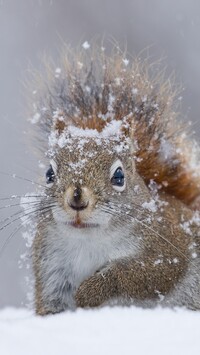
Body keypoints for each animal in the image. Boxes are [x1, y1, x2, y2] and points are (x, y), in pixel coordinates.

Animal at [28, 43, 200, 316]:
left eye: (119, 176)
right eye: (49, 174)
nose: (77, 199)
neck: (89, 240)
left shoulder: (168, 249)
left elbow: (136, 275)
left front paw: (89, 292)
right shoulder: (51, 266)